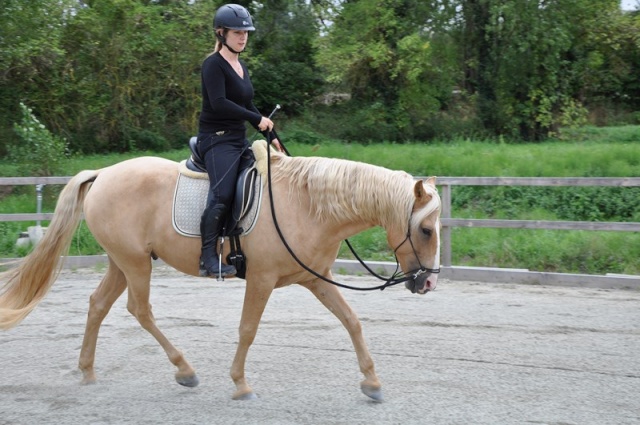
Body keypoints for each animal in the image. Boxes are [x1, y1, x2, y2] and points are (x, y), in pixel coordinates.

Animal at [0, 140, 440, 400]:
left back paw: (88, 372)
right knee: (139, 310)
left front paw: (372, 382)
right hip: (135, 264)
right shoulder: (261, 279)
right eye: (425, 229)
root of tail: (103, 173)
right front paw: (240, 384)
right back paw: (185, 370)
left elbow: (351, 321)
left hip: (123, 262)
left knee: (97, 305)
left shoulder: (314, 279)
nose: (428, 283)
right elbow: (248, 329)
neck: (308, 205)